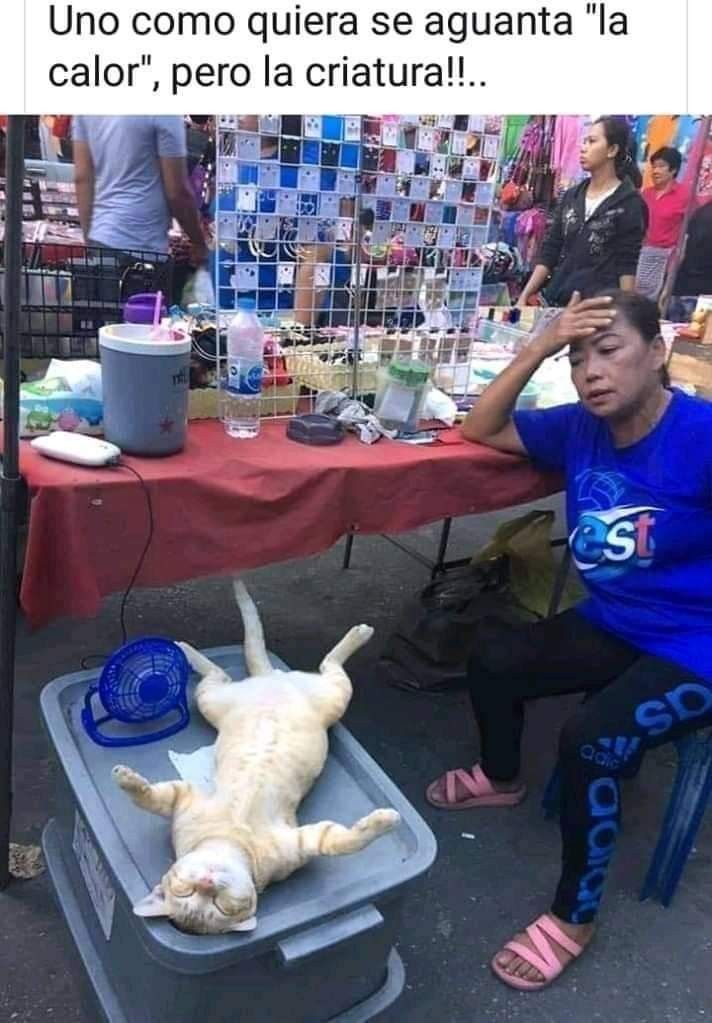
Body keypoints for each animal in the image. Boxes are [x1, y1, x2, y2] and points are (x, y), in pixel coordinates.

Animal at [113, 579, 400, 936]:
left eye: (187, 890)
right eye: (199, 899)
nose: (207, 882)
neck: (229, 838)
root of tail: (272, 677)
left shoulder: (184, 798)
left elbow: (148, 795)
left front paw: (126, 778)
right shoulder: (304, 840)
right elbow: (343, 841)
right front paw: (387, 820)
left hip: (233, 699)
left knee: (283, 660)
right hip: (276, 696)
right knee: (248, 670)